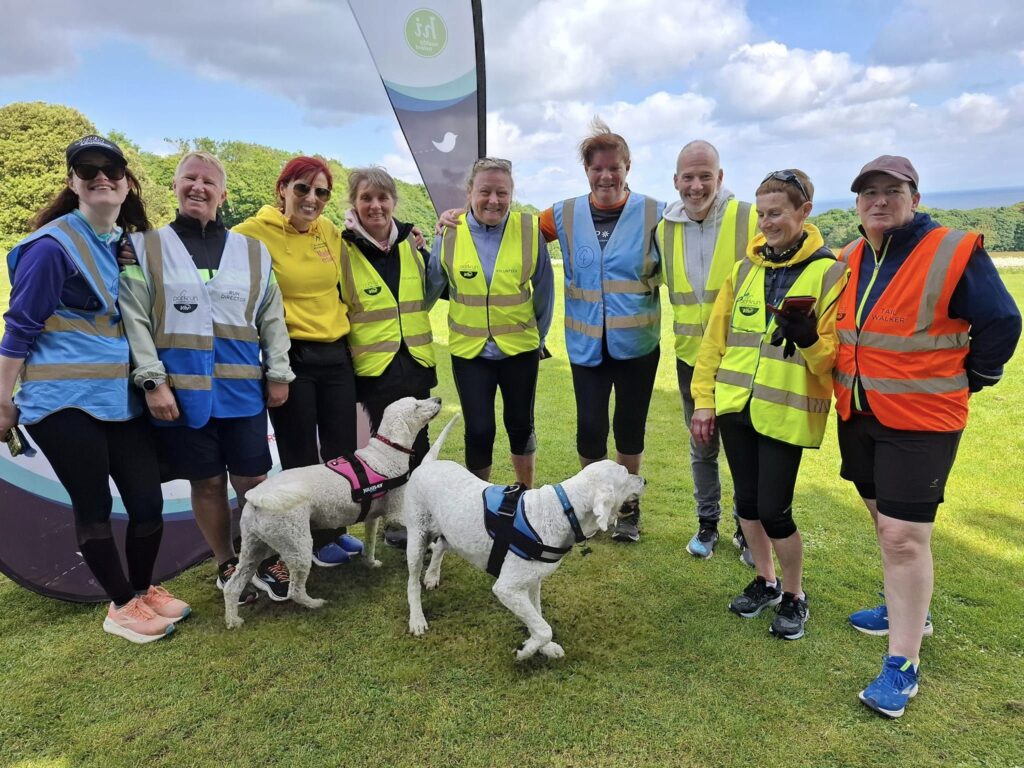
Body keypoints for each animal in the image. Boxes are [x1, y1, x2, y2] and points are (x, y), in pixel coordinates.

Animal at [222, 397, 446, 630]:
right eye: (416, 406)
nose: (438, 399)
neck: (384, 456)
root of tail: (255, 495)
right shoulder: (397, 512)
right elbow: (421, 531)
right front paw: (433, 548)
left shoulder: (371, 517)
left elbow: (370, 543)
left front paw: (371, 562)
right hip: (297, 545)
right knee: (295, 590)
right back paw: (315, 604)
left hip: (254, 547)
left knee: (232, 586)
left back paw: (233, 620)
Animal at [403, 444, 643, 663]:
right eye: (625, 474)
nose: (643, 480)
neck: (562, 511)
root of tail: (428, 463)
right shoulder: (507, 588)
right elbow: (544, 628)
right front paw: (525, 651)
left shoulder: (532, 581)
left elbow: (537, 618)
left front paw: (542, 647)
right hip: (417, 537)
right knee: (412, 582)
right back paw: (417, 619)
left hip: (454, 532)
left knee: (440, 545)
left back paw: (432, 575)